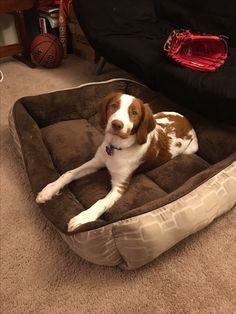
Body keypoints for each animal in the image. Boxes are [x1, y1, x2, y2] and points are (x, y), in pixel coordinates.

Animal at [36, 92, 197, 232]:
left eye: (134, 113)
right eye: (114, 106)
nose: (117, 125)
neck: (116, 148)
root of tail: (187, 120)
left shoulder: (120, 186)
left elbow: (101, 202)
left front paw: (83, 218)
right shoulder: (96, 161)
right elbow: (68, 173)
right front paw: (49, 190)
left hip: (190, 149)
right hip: (159, 115)